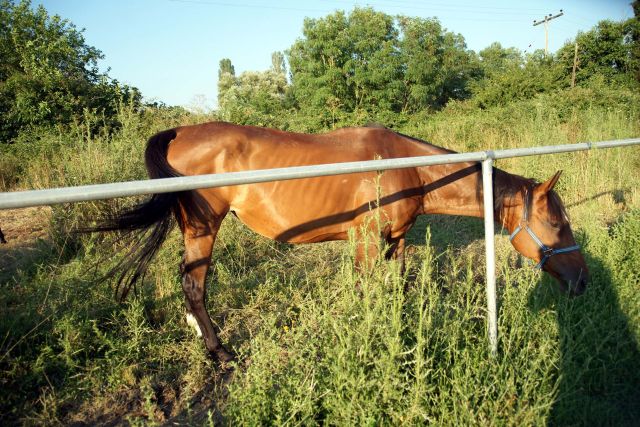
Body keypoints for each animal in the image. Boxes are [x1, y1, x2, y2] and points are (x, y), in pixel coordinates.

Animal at [91, 122, 592, 362]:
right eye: (557, 224)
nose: (584, 282)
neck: (406, 167)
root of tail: (180, 132)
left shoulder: (398, 240)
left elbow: (399, 287)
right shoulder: (365, 242)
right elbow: (364, 293)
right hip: (203, 228)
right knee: (194, 286)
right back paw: (221, 354)